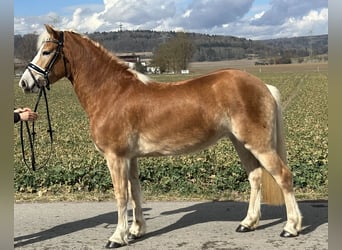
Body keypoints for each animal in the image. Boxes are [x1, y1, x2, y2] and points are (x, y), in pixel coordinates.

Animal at [19, 24, 302, 247]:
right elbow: (135, 191)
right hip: (241, 142)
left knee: (283, 176)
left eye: (46, 52)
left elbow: (121, 195)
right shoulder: (130, 158)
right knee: (255, 177)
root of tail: (263, 85)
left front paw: (117, 237)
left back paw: (290, 227)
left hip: (258, 144)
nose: (24, 82)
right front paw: (135, 231)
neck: (112, 93)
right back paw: (248, 223)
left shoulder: (115, 157)